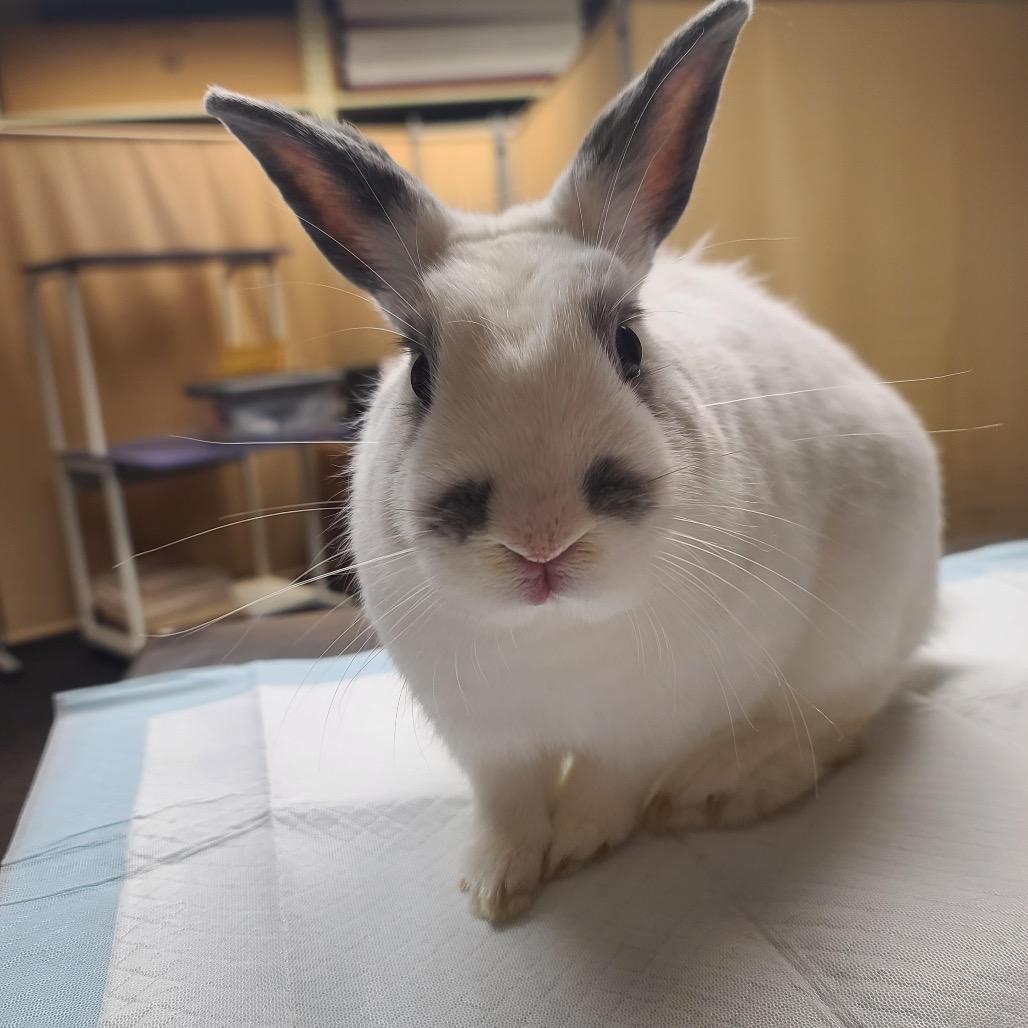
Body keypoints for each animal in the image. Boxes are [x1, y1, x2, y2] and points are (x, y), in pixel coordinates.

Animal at [205, 0, 940, 922]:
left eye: (629, 345)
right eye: (420, 369)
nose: (539, 535)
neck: (553, 636)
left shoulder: (650, 723)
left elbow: (605, 786)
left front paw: (584, 845)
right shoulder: (484, 737)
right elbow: (508, 800)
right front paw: (495, 885)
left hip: (859, 632)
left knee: (843, 724)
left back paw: (722, 786)